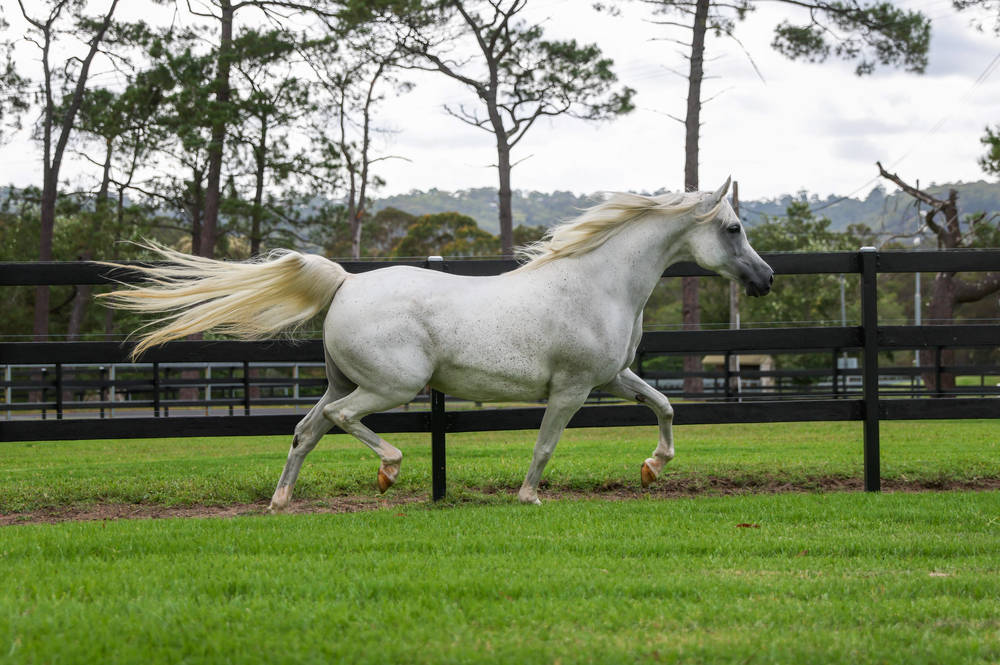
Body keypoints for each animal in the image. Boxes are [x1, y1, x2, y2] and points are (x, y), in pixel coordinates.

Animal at [100, 178, 773, 510]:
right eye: (734, 228)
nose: (765, 280)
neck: (595, 283)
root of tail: (345, 283)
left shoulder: (613, 377)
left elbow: (665, 407)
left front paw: (652, 469)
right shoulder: (573, 389)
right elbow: (546, 445)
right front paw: (529, 497)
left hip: (343, 381)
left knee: (306, 429)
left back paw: (281, 502)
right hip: (388, 386)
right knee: (342, 422)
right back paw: (389, 472)